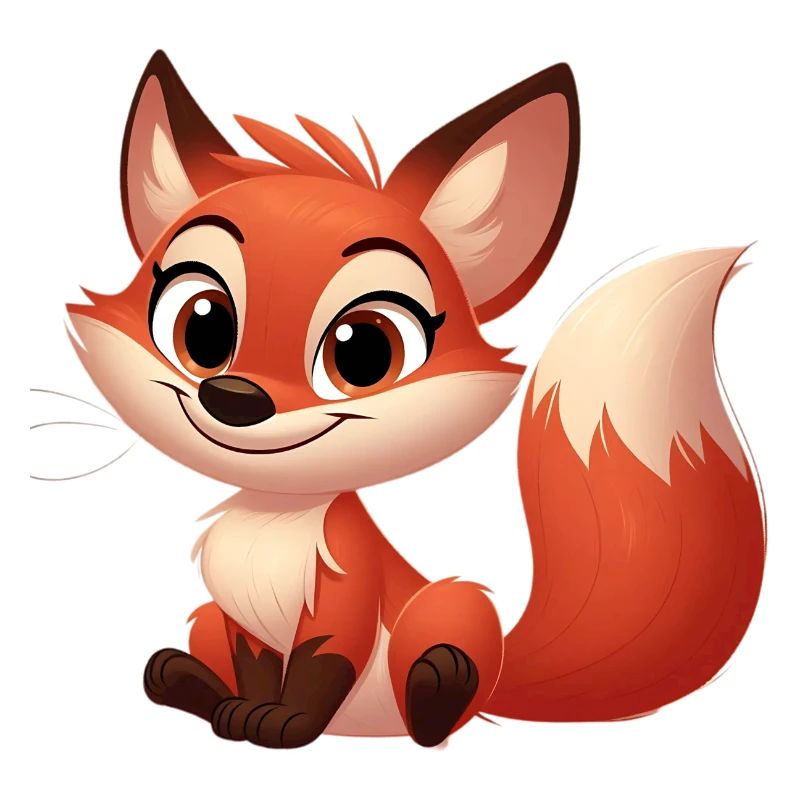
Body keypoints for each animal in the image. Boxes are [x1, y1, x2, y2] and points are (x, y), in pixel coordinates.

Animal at [64, 50, 765, 749]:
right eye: (203, 327)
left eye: (364, 351)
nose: (233, 397)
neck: (276, 520)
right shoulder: (240, 622)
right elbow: (255, 668)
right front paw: (241, 713)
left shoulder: (346, 594)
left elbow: (320, 668)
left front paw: (286, 724)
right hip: (209, 617)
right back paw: (183, 680)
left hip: (446, 608)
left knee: (437, 694)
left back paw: (437, 688)